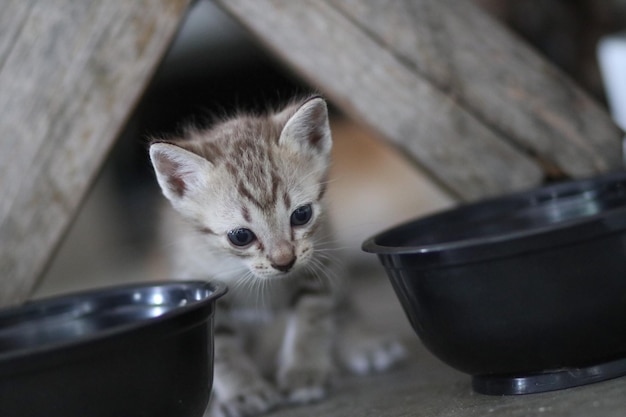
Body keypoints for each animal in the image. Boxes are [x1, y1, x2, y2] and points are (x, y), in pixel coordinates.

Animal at [151, 96, 404, 414]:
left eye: (302, 215)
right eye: (241, 236)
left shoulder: (317, 265)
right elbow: (221, 349)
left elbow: (312, 319)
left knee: (343, 304)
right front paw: (243, 391)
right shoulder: (201, 280)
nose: (285, 262)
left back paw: (361, 341)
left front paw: (304, 372)